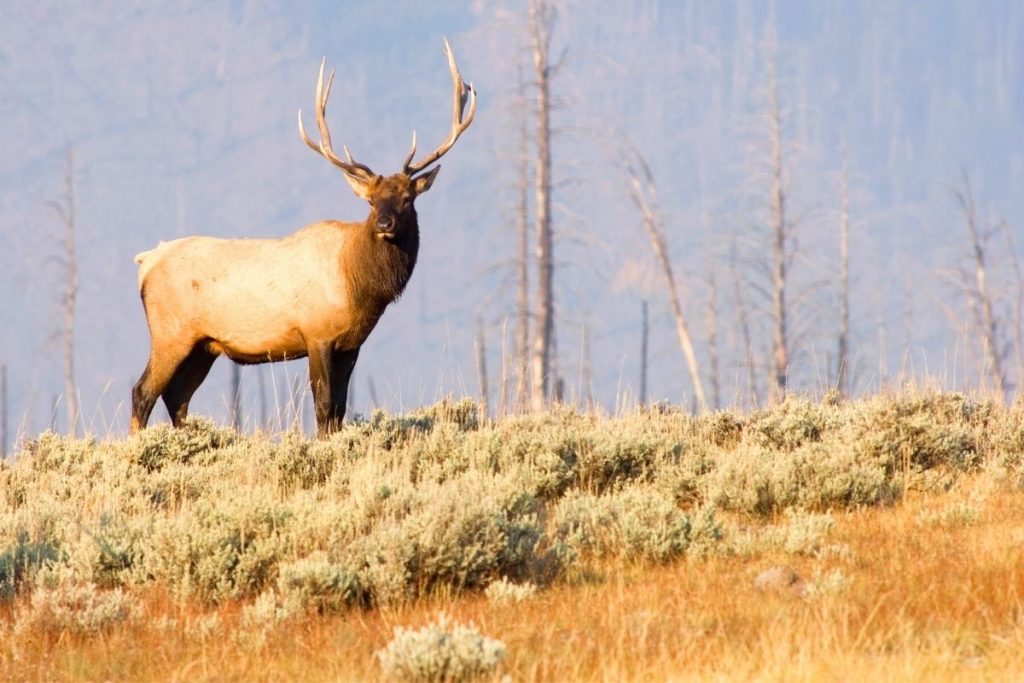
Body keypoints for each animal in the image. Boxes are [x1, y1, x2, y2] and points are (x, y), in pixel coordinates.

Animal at [129, 40, 475, 436]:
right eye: (371, 201)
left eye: (407, 198)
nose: (384, 224)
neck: (358, 286)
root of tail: (145, 261)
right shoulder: (317, 334)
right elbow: (324, 407)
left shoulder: (351, 344)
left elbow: (339, 410)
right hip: (170, 333)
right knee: (143, 391)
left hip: (203, 345)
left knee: (177, 397)